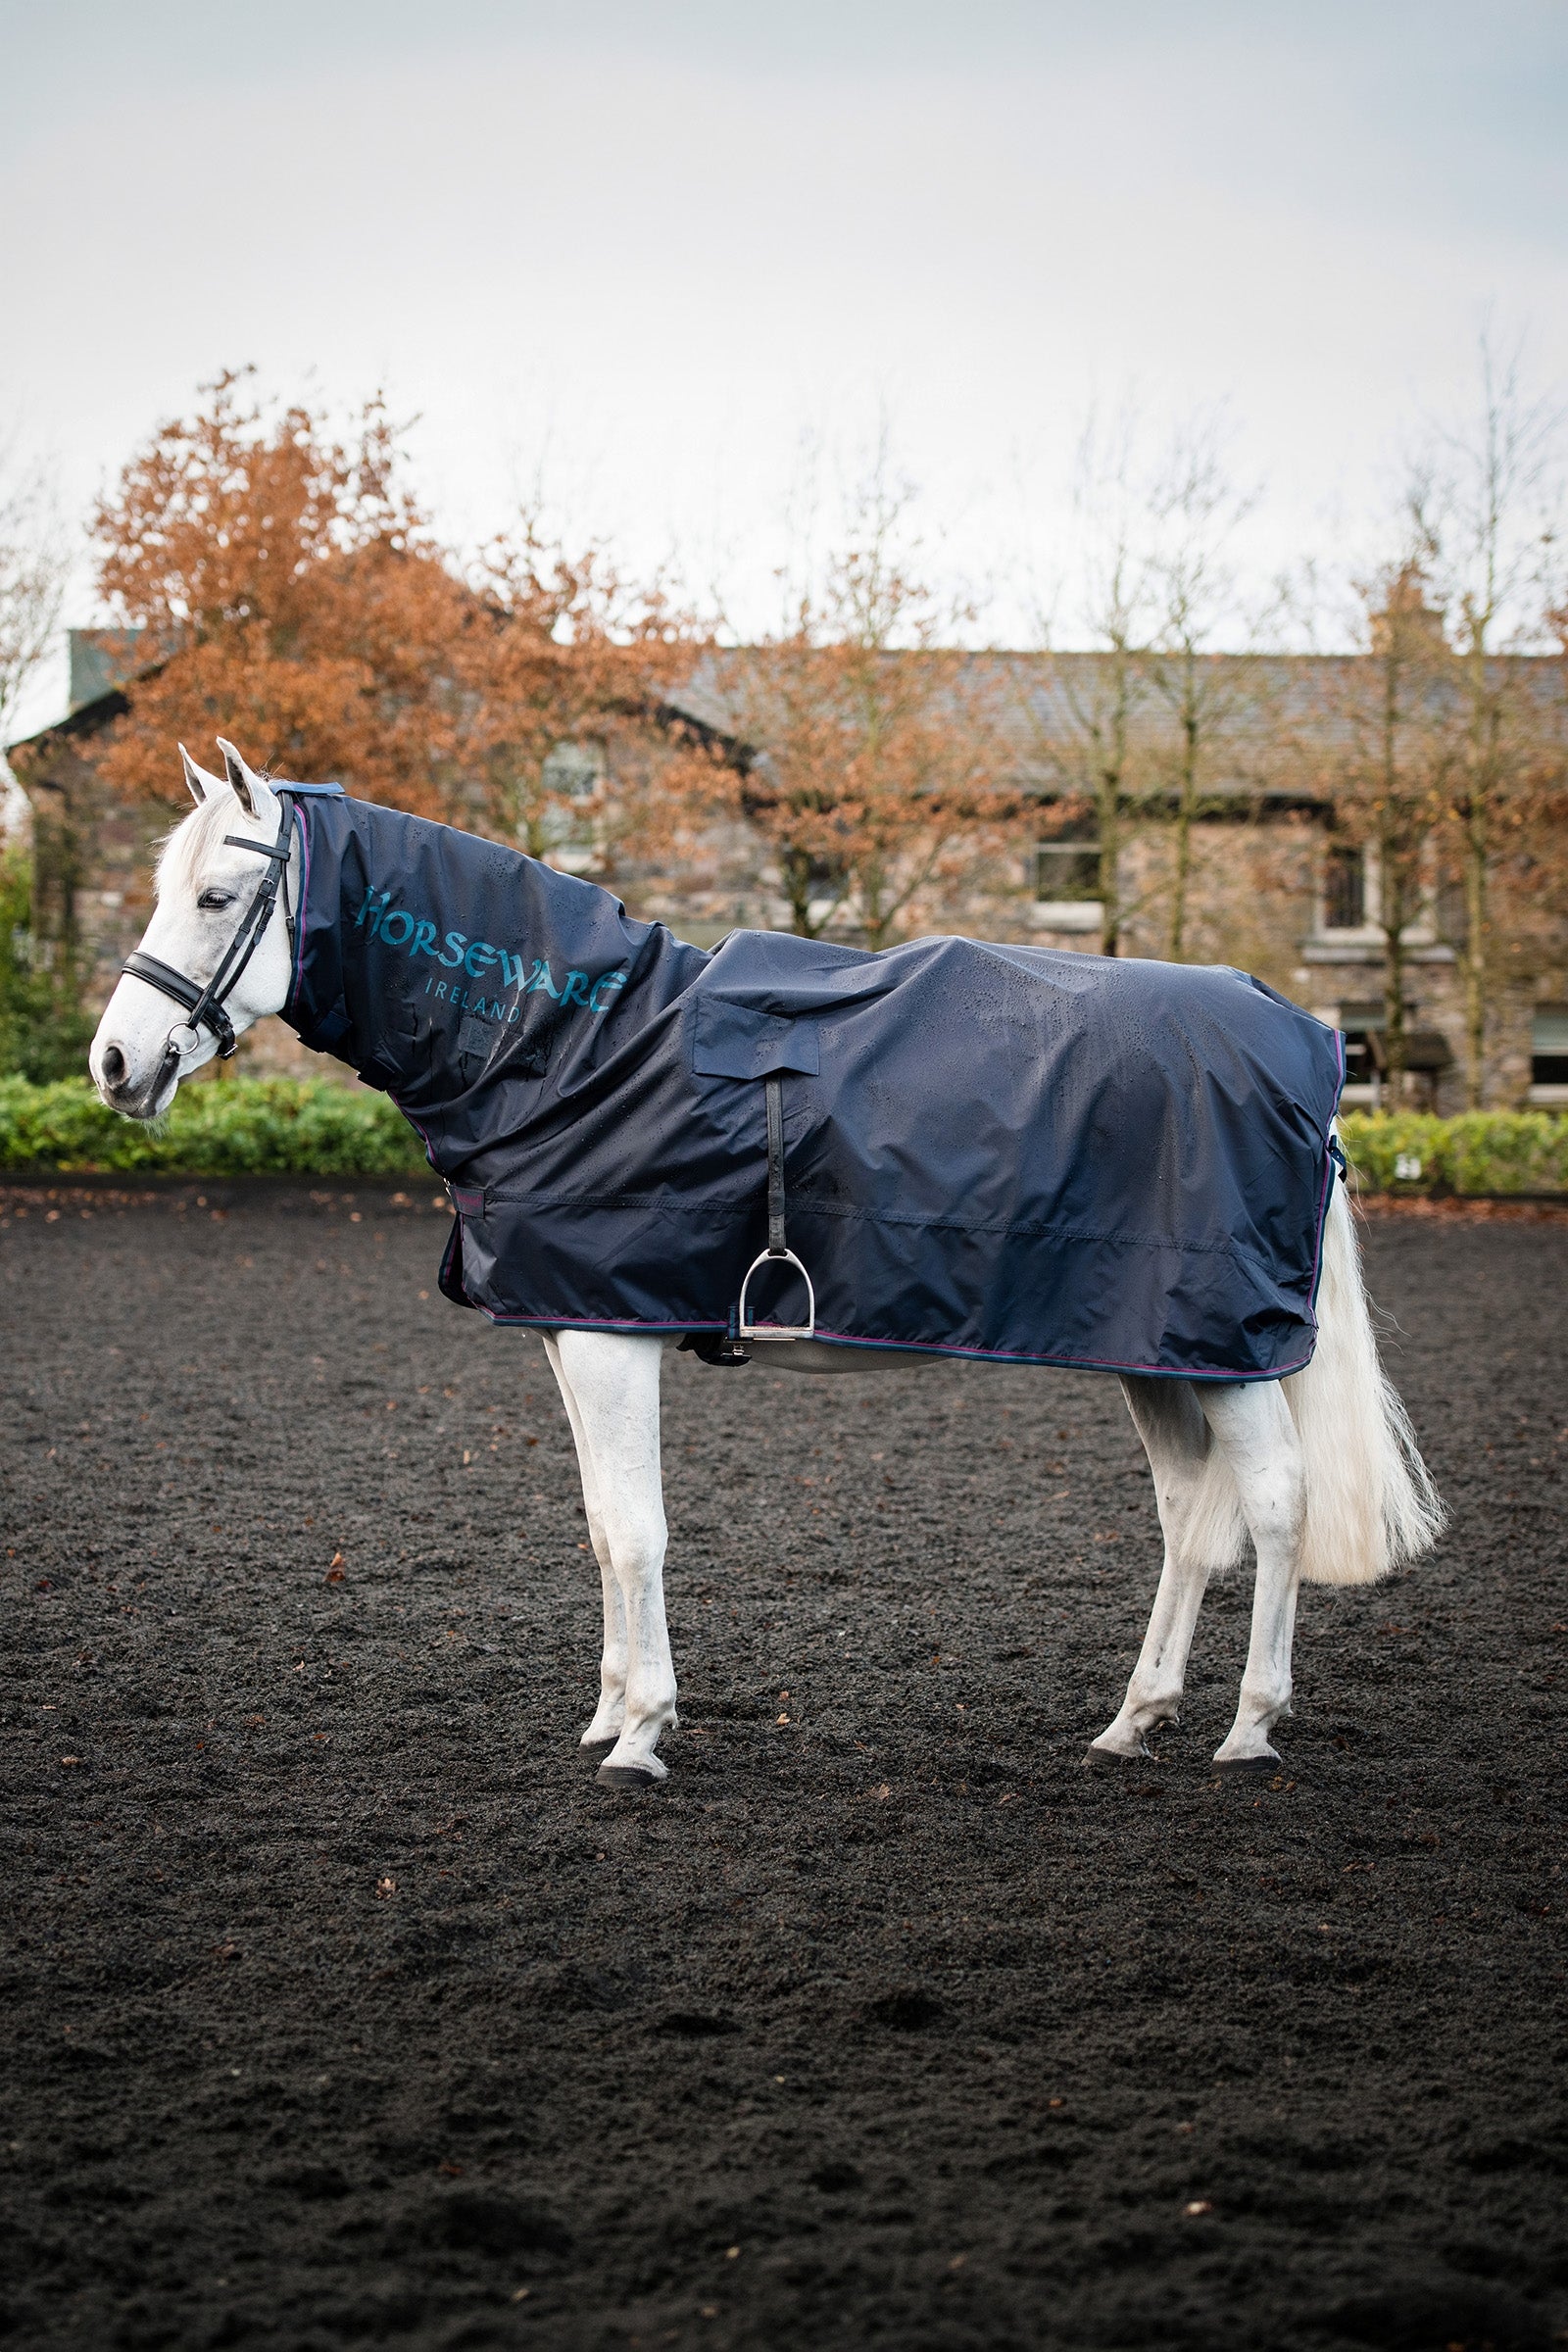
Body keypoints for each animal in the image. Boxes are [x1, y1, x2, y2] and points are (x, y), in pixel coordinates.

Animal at [89, 740, 1444, 1790]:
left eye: (217, 897)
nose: (112, 1063)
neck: (574, 1042)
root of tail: (1299, 1041)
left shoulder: (613, 1337)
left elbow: (638, 1532)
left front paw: (642, 1735)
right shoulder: (570, 1332)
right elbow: (600, 1530)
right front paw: (608, 1713)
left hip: (1227, 1352)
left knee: (1273, 1506)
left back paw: (1247, 1730)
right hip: (1157, 1349)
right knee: (1188, 1520)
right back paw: (1132, 1722)